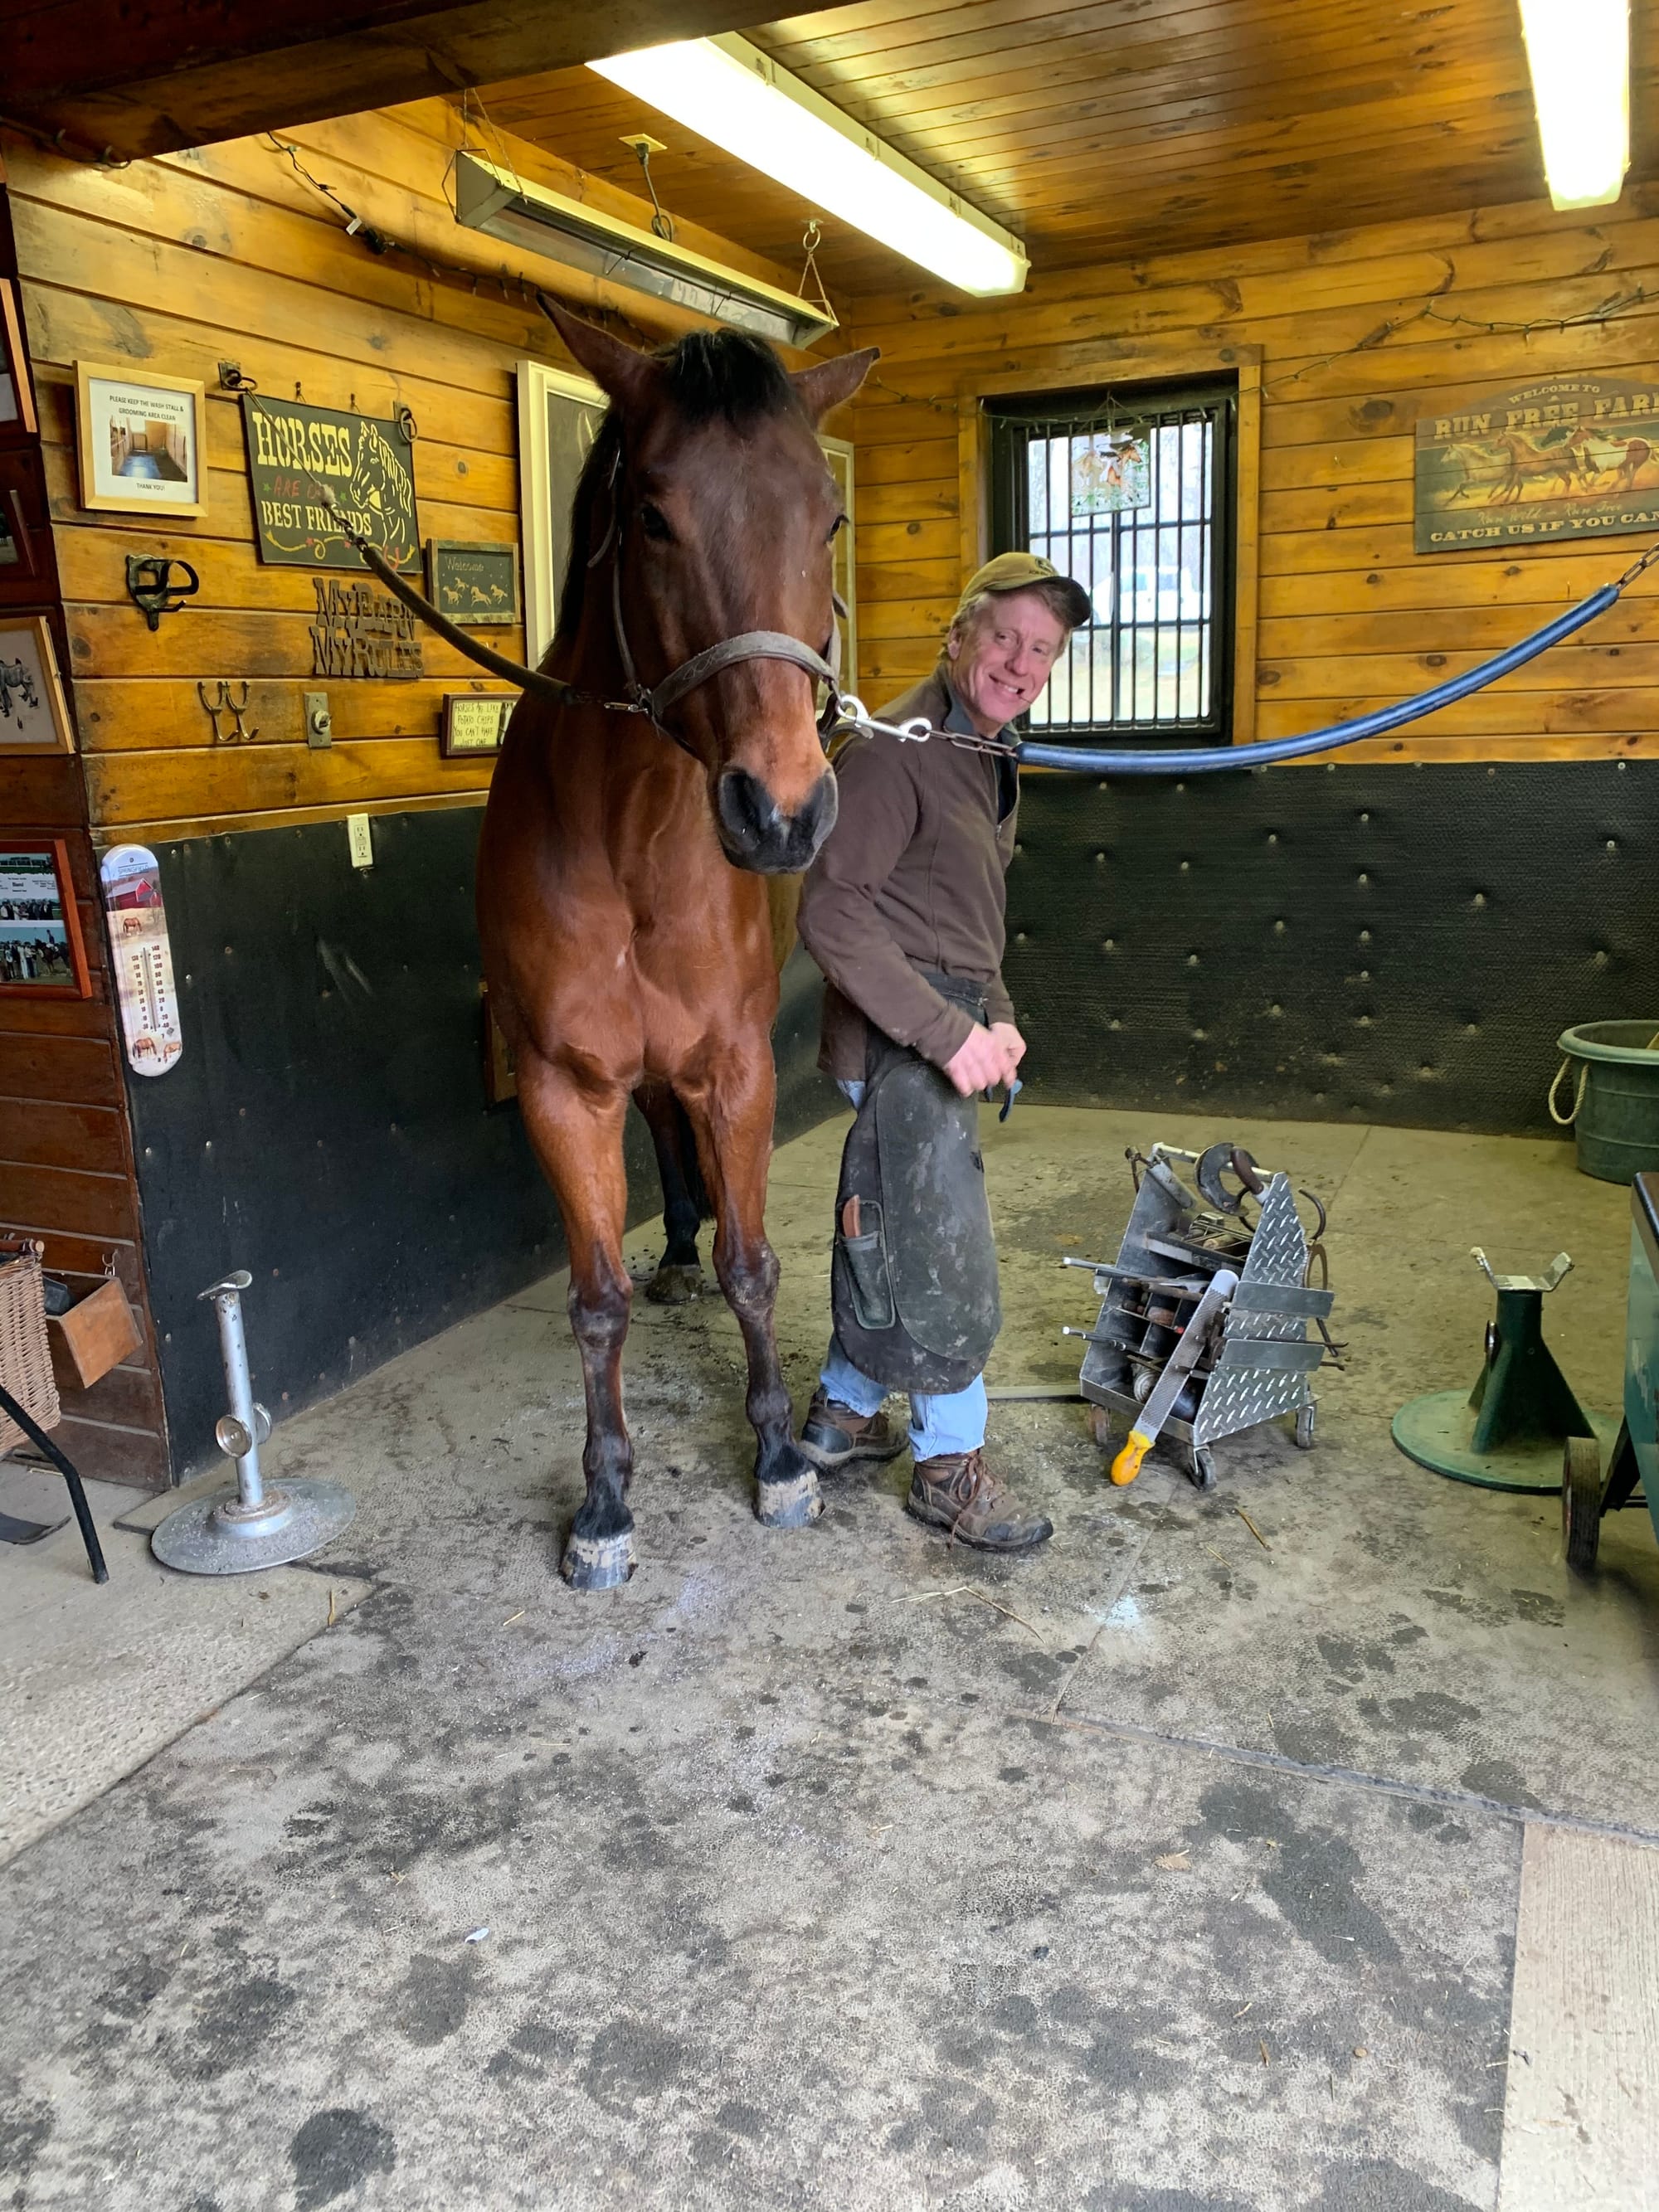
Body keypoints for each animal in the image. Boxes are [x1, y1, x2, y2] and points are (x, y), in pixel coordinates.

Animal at [473, 307, 876, 1592]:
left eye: (828, 518)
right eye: (653, 516)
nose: (782, 809)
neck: (634, 838)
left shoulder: (737, 1065)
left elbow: (757, 1266)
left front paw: (780, 1456)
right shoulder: (564, 1086)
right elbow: (594, 1301)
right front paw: (604, 1501)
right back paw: (677, 1248)